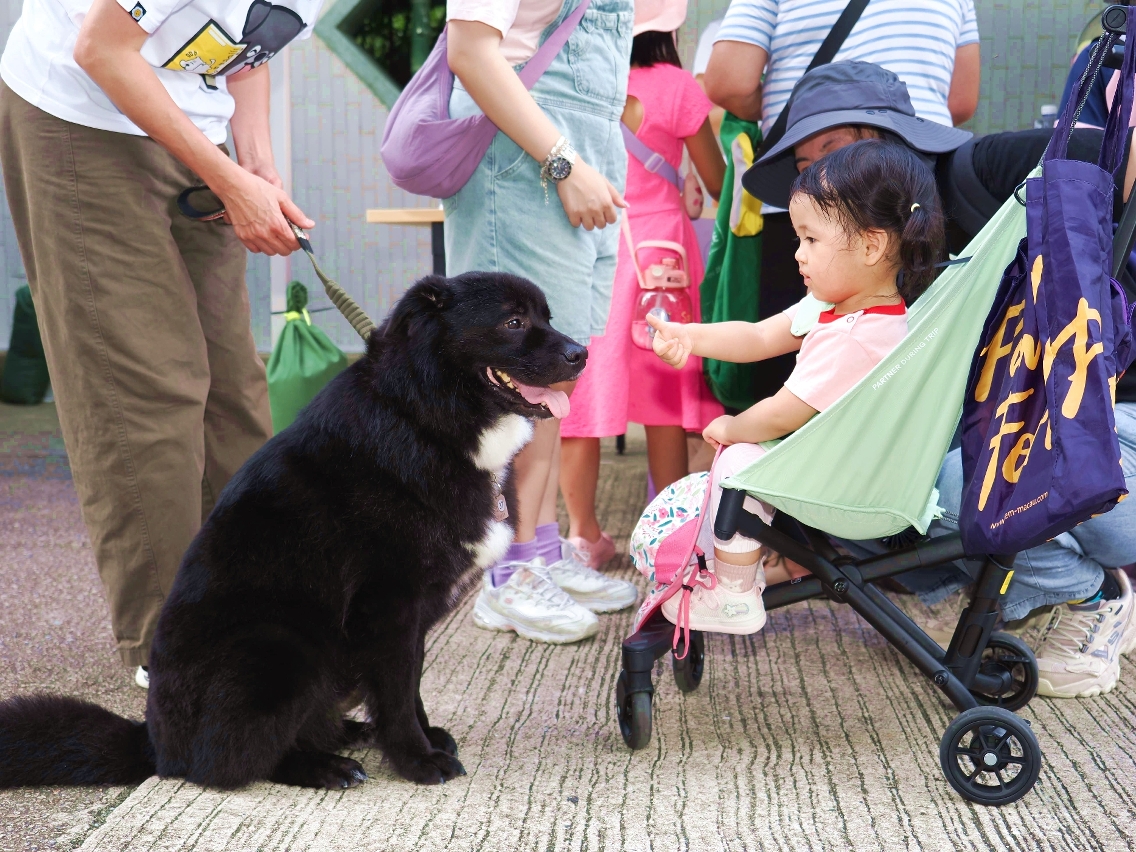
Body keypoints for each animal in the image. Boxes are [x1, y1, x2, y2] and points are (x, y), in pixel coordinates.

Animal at [0, 271, 586, 790]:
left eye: (548, 317)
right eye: (513, 321)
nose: (581, 353)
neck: (422, 412)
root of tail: (155, 744)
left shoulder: (409, 618)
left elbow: (410, 684)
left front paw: (422, 738)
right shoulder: (389, 606)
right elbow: (397, 694)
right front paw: (416, 759)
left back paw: (346, 733)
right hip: (284, 647)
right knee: (226, 763)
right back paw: (321, 768)